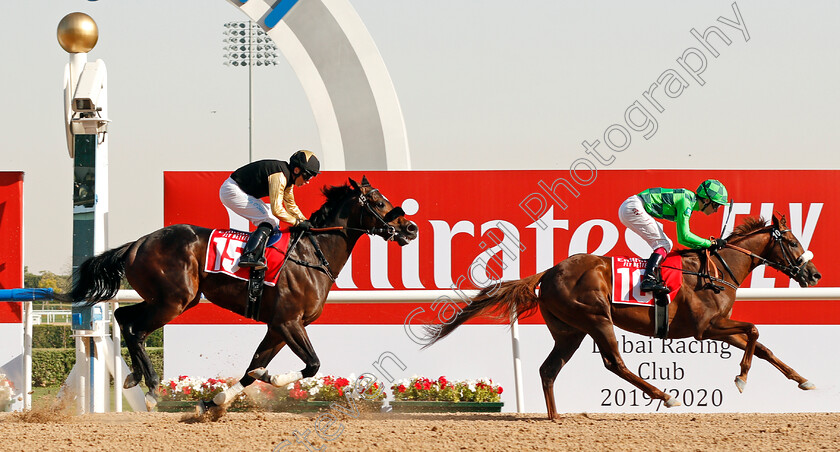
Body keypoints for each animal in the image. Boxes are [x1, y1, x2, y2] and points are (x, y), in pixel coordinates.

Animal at [66, 178, 416, 412]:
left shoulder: (277, 327)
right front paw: (272, 379)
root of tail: (137, 244)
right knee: (137, 330)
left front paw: (215, 401)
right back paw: (151, 389)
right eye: (380, 203)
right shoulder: (289, 323)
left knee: (122, 316)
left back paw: (134, 377)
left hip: (170, 299)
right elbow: (313, 364)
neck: (312, 253)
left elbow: (252, 369)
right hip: (174, 300)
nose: (410, 228)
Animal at [424, 215, 816, 420]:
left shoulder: (719, 327)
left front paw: (803, 380)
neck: (716, 270)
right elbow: (755, 330)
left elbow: (762, 346)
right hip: (596, 319)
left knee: (549, 369)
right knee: (615, 363)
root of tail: (548, 272)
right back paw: (665, 396)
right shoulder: (705, 328)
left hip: (570, 332)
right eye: (792, 242)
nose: (813, 275)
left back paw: (555, 417)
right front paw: (741, 379)